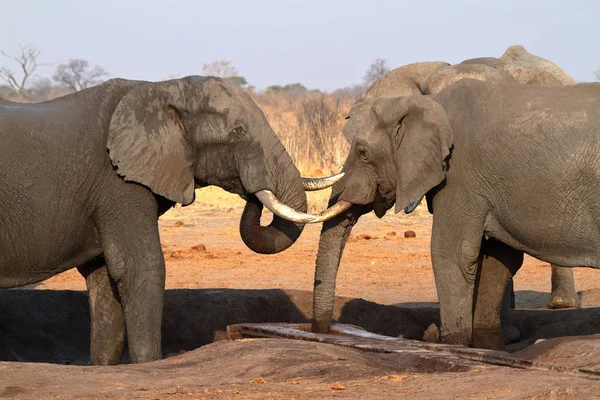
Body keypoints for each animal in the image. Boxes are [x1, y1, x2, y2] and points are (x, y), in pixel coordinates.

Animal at [0, 76, 338, 366]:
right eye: (238, 132)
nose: (252, 189)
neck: (164, 88)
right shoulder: (118, 184)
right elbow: (141, 268)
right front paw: (148, 365)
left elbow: (103, 278)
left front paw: (105, 368)